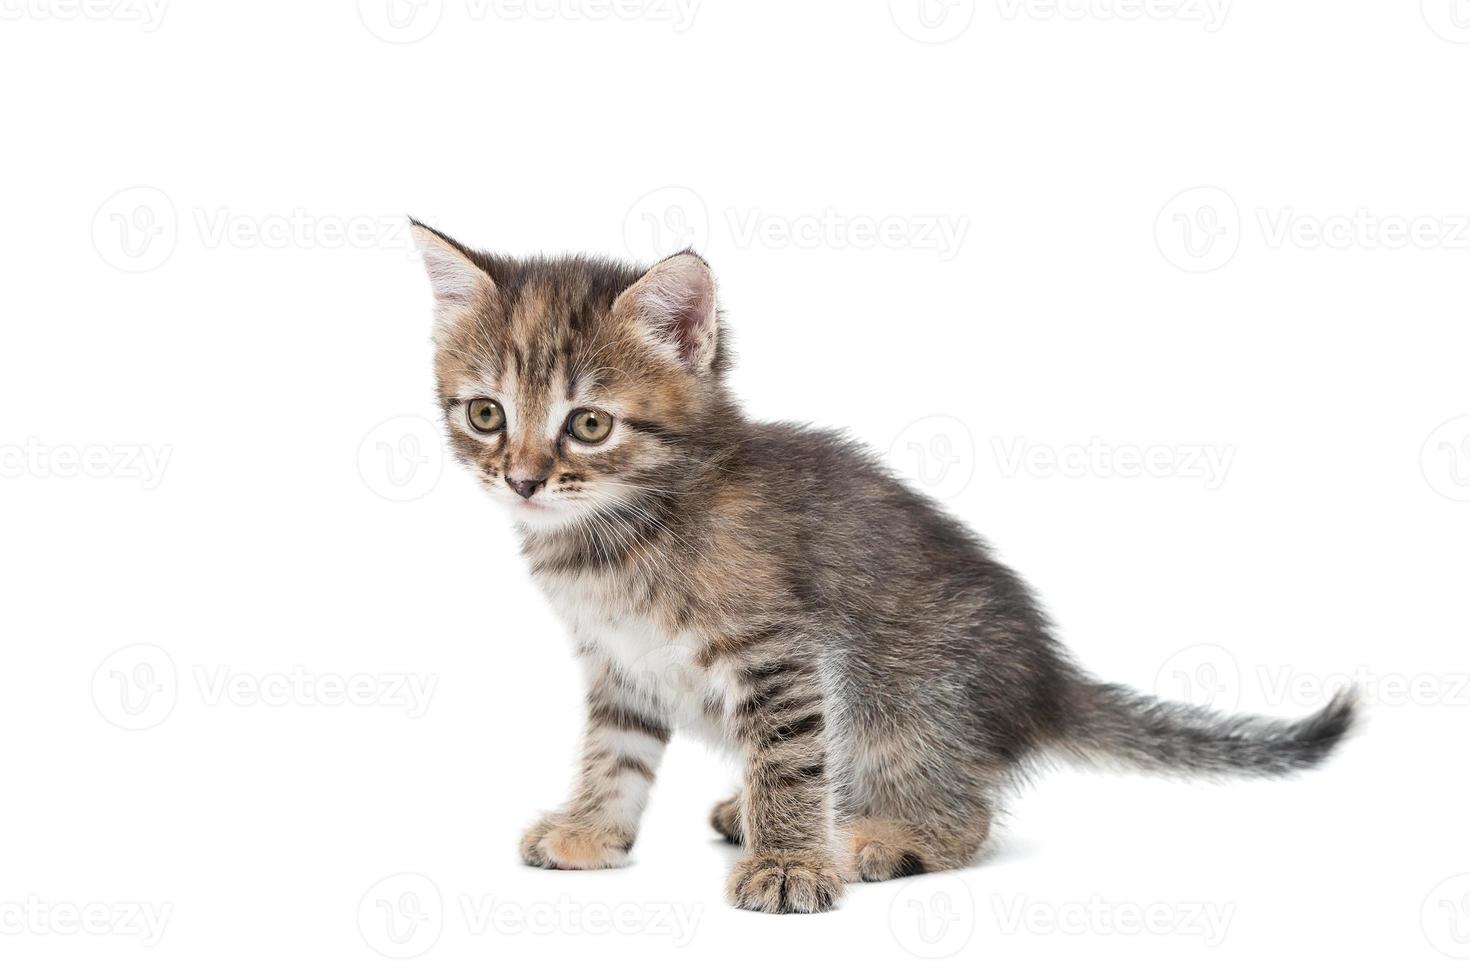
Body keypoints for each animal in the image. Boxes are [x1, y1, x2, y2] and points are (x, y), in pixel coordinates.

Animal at [411, 220, 1352, 910]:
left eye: (590, 424)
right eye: (488, 414)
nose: (523, 479)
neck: (618, 532)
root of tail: (1047, 681)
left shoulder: (781, 650)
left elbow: (789, 757)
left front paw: (790, 865)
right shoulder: (621, 664)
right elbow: (616, 754)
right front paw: (594, 831)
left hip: (901, 697)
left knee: (964, 812)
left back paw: (873, 837)